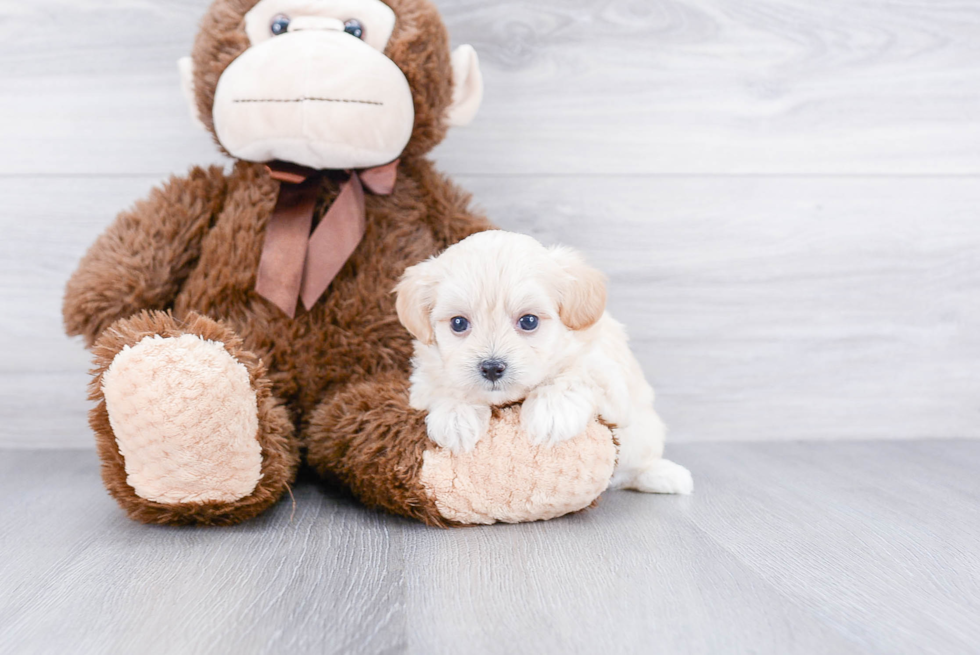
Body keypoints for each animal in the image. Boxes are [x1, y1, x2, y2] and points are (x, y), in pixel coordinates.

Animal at [394, 233, 692, 494]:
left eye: (529, 321)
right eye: (458, 323)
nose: (491, 368)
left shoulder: (610, 376)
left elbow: (579, 372)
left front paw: (551, 411)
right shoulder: (421, 384)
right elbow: (446, 388)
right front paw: (456, 416)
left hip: (643, 435)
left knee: (634, 468)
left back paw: (666, 475)